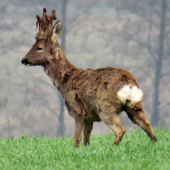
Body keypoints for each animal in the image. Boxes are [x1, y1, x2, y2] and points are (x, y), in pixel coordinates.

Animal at [21, 7, 157, 147]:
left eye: (39, 48)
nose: (24, 60)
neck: (65, 81)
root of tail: (129, 83)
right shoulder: (89, 117)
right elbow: (86, 141)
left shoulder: (78, 111)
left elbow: (76, 141)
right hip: (135, 105)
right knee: (147, 126)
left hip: (105, 107)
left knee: (120, 130)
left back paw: (112, 147)